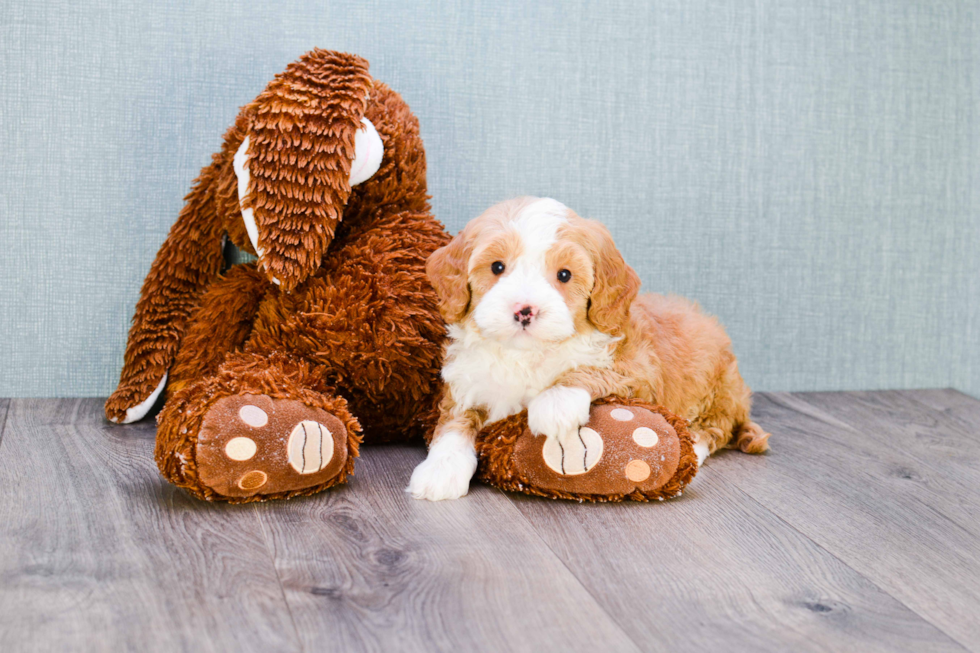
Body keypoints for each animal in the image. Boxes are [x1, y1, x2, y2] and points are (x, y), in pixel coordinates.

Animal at [410, 197, 768, 500]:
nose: (525, 310)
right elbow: (453, 424)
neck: (526, 356)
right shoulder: (466, 384)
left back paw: (693, 441)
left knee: (715, 429)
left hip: (719, 393)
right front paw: (441, 469)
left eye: (564, 274)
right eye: (497, 267)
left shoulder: (639, 374)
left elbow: (590, 370)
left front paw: (555, 403)